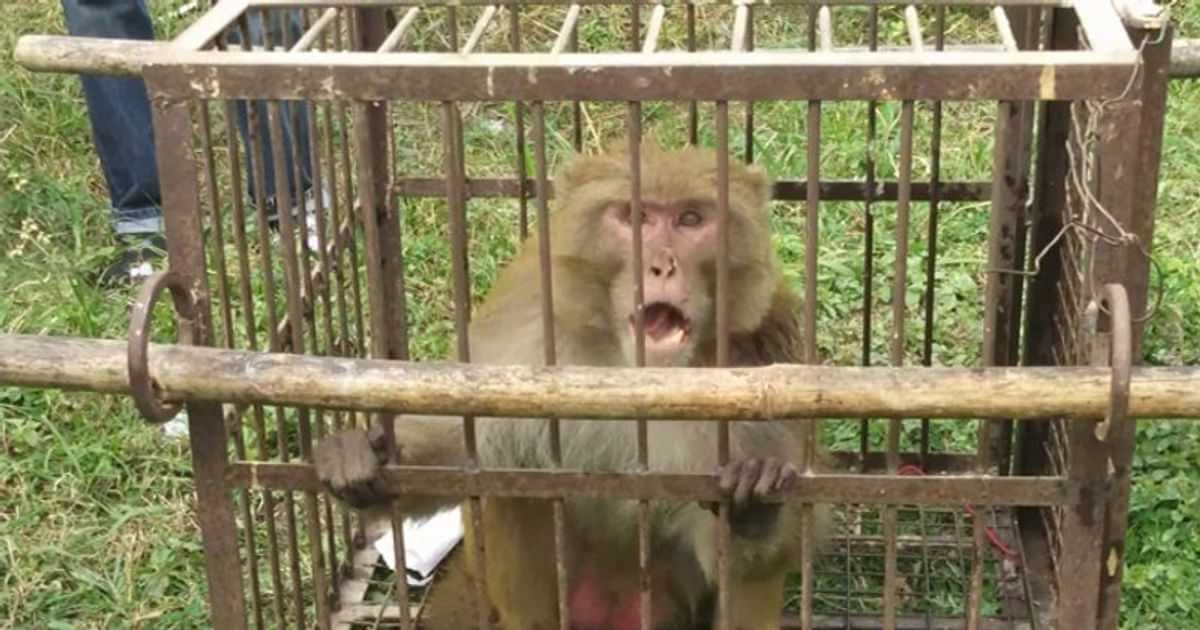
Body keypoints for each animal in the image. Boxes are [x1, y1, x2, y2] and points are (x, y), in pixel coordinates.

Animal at [315, 141, 831, 629]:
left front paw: (753, 506)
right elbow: (464, 447)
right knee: (514, 475)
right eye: (635, 217)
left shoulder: (768, 348)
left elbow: (763, 549)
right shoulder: (524, 318)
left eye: (690, 219)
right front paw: (367, 455)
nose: (661, 265)